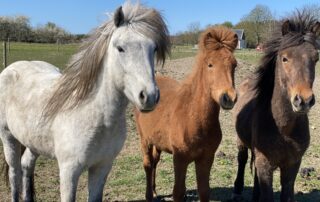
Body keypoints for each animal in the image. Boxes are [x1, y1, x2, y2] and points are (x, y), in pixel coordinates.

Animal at [0, 1, 170, 202]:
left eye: (154, 49)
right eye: (120, 48)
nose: (149, 96)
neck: (93, 114)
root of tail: (11, 68)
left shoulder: (102, 167)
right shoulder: (69, 171)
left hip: (32, 142)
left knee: (27, 166)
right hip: (8, 137)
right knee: (14, 173)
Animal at [134, 26, 238, 202]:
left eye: (234, 65)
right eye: (210, 64)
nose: (228, 98)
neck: (193, 117)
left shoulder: (206, 158)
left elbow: (204, 191)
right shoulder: (180, 159)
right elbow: (177, 191)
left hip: (157, 141)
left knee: (155, 162)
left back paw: (154, 191)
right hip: (145, 139)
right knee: (147, 164)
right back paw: (149, 195)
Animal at [232, 11, 320, 202]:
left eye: (316, 58)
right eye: (284, 58)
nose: (303, 101)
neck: (283, 129)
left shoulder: (292, 165)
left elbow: (286, 195)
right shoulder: (265, 164)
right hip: (241, 142)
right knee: (242, 159)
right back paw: (237, 189)